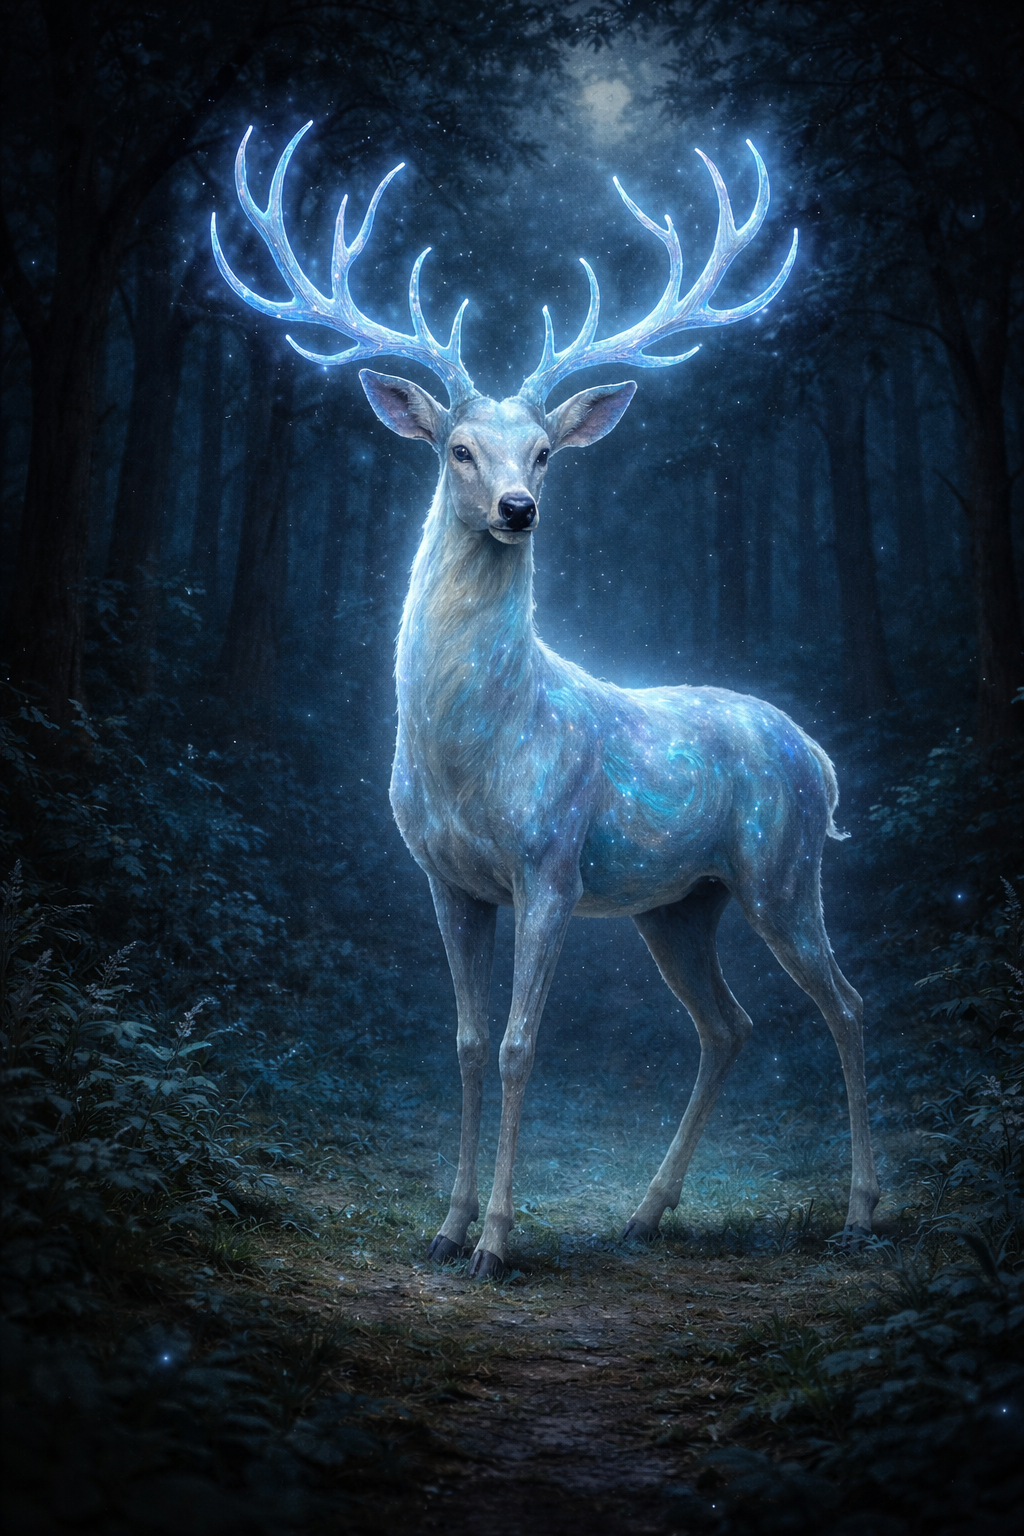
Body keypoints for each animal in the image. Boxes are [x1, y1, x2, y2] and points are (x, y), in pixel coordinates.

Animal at [212, 123, 880, 1279]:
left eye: (545, 450)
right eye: (458, 448)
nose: (519, 507)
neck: (471, 756)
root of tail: (823, 757)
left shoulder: (551, 863)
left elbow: (525, 1046)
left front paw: (495, 1241)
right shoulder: (446, 878)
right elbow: (470, 1043)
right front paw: (442, 1229)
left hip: (783, 867)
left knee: (845, 1006)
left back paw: (863, 1210)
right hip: (680, 902)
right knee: (730, 1025)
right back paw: (647, 1214)